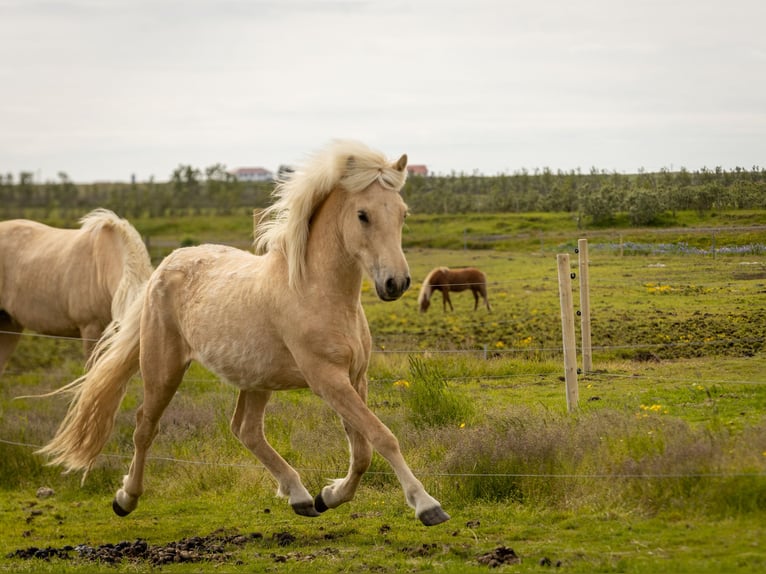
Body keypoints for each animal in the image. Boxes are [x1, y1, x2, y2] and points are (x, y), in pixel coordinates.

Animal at [38, 140, 450, 527]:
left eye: (402, 213)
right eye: (363, 215)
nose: (396, 283)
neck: (317, 292)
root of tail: (165, 265)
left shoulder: (355, 378)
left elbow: (362, 451)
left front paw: (328, 496)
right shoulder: (328, 380)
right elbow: (382, 437)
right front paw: (427, 505)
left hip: (256, 379)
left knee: (245, 430)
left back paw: (300, 496)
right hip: (163, 370)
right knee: (145, 427)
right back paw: (126, 498)